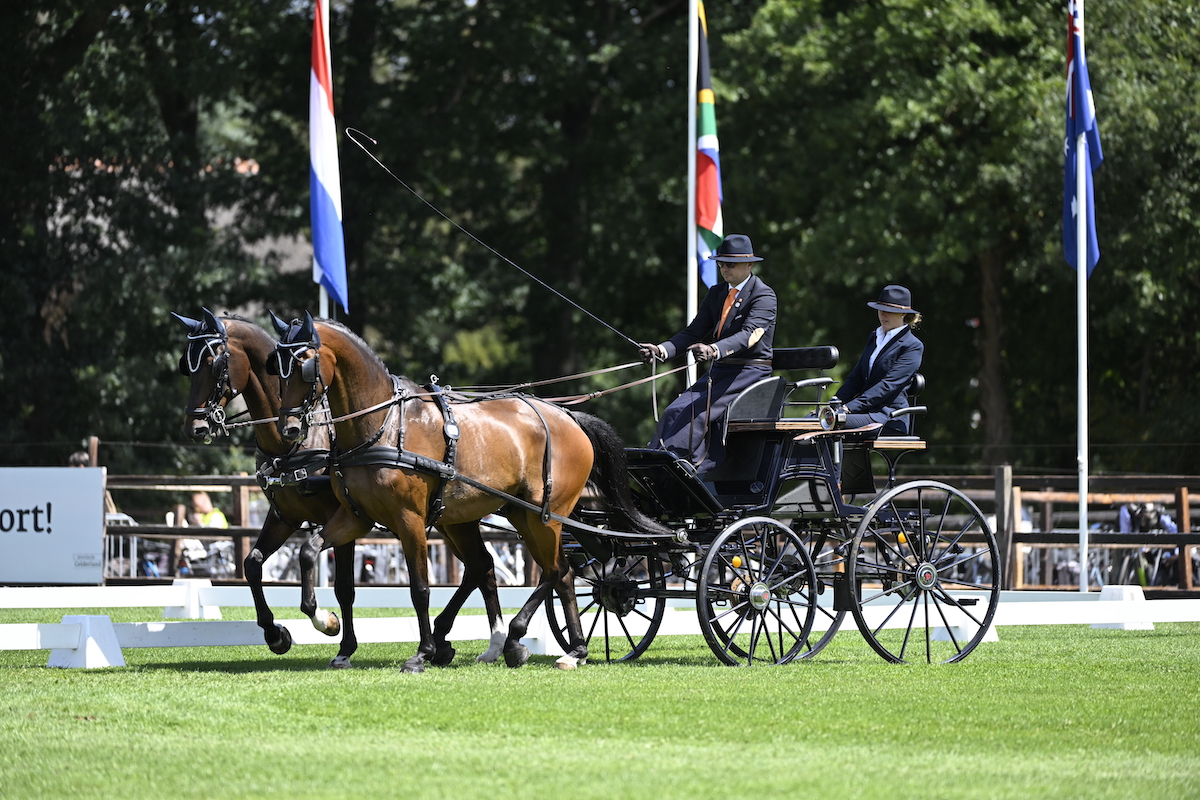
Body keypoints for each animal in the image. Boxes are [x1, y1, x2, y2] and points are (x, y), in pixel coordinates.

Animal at [174, 309, 466, 668]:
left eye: (215, 364)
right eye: (187, 366)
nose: (195, 427)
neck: (293, 443)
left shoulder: (343, 516)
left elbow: (343, 588)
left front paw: (334, 632)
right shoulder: (284, 516)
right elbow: (252, 564)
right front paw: (276, 634)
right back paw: (446, 639)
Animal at [270, 312, 667, 672]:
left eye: (304, 365)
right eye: (276, 368)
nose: (289, 428)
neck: (383, 426)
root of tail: (569, 417)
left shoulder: (409, 520)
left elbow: (420, 588)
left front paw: (422, 654)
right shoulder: (356, 516)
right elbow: (308, 551)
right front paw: (324, 620)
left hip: (547, 516)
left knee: (555, 570)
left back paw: (524, 640)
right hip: (521, 515)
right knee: (560, 573)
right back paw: (568, 650)